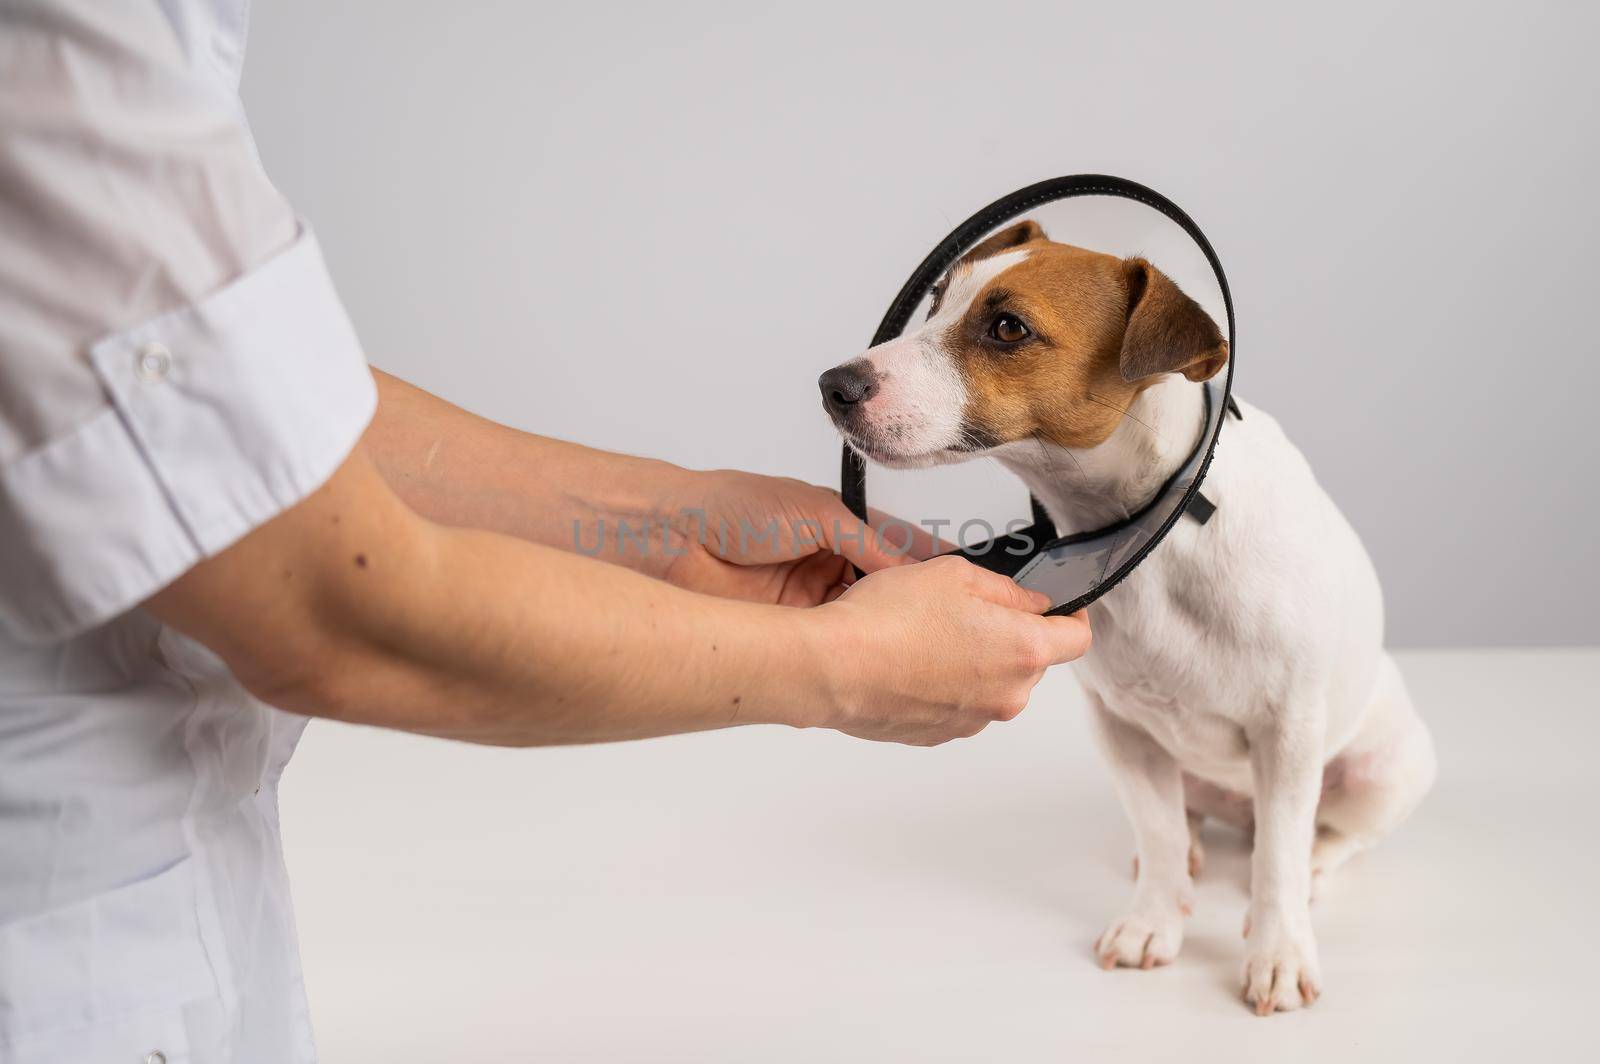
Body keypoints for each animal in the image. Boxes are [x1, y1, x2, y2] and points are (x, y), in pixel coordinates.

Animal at [825, 217, 1440, 1011]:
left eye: (1007, 327)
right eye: (934, 302)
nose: (833, 385)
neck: (1151, 524)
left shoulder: (1289, 732)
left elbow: (1277, 860)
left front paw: (1278, 951)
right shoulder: (1122, 728)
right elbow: (1156, 828)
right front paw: (1155, 920)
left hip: (1384, 769)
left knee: (1323, 836)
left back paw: (1313, 866)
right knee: (1188, 821)